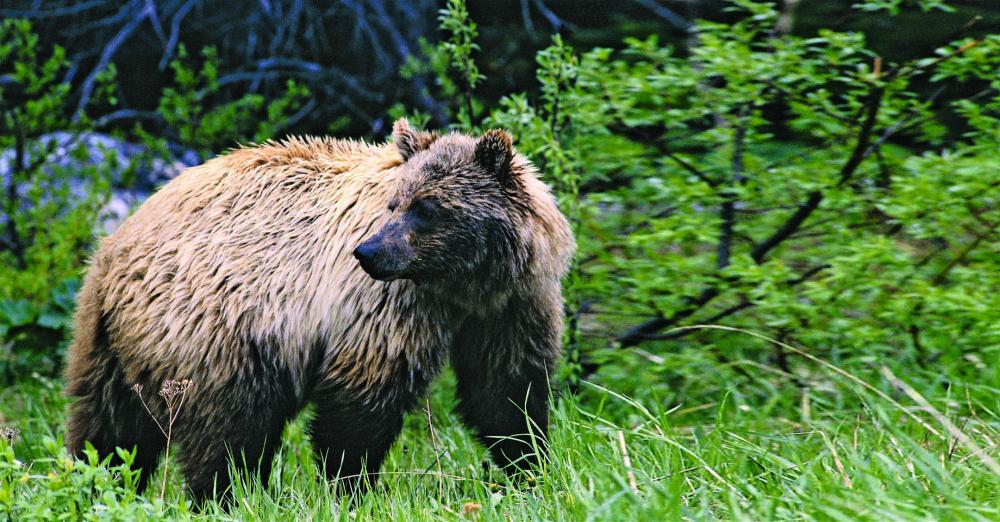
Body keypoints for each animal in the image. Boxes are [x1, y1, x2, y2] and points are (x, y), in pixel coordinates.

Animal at [63, 119, 575, 501]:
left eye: (427, 207)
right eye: (395, 203)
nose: (368, 252)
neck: (462, 284)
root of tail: (115, 246)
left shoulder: (514, 303)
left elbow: (506, 391)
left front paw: (530, 467)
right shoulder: (388, 306)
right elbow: (362, 402)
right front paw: (351, 487)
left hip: (109, 340)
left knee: (108, 427)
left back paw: (95, 483)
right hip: (213, 326)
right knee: (227, 429)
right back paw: (228, 496)